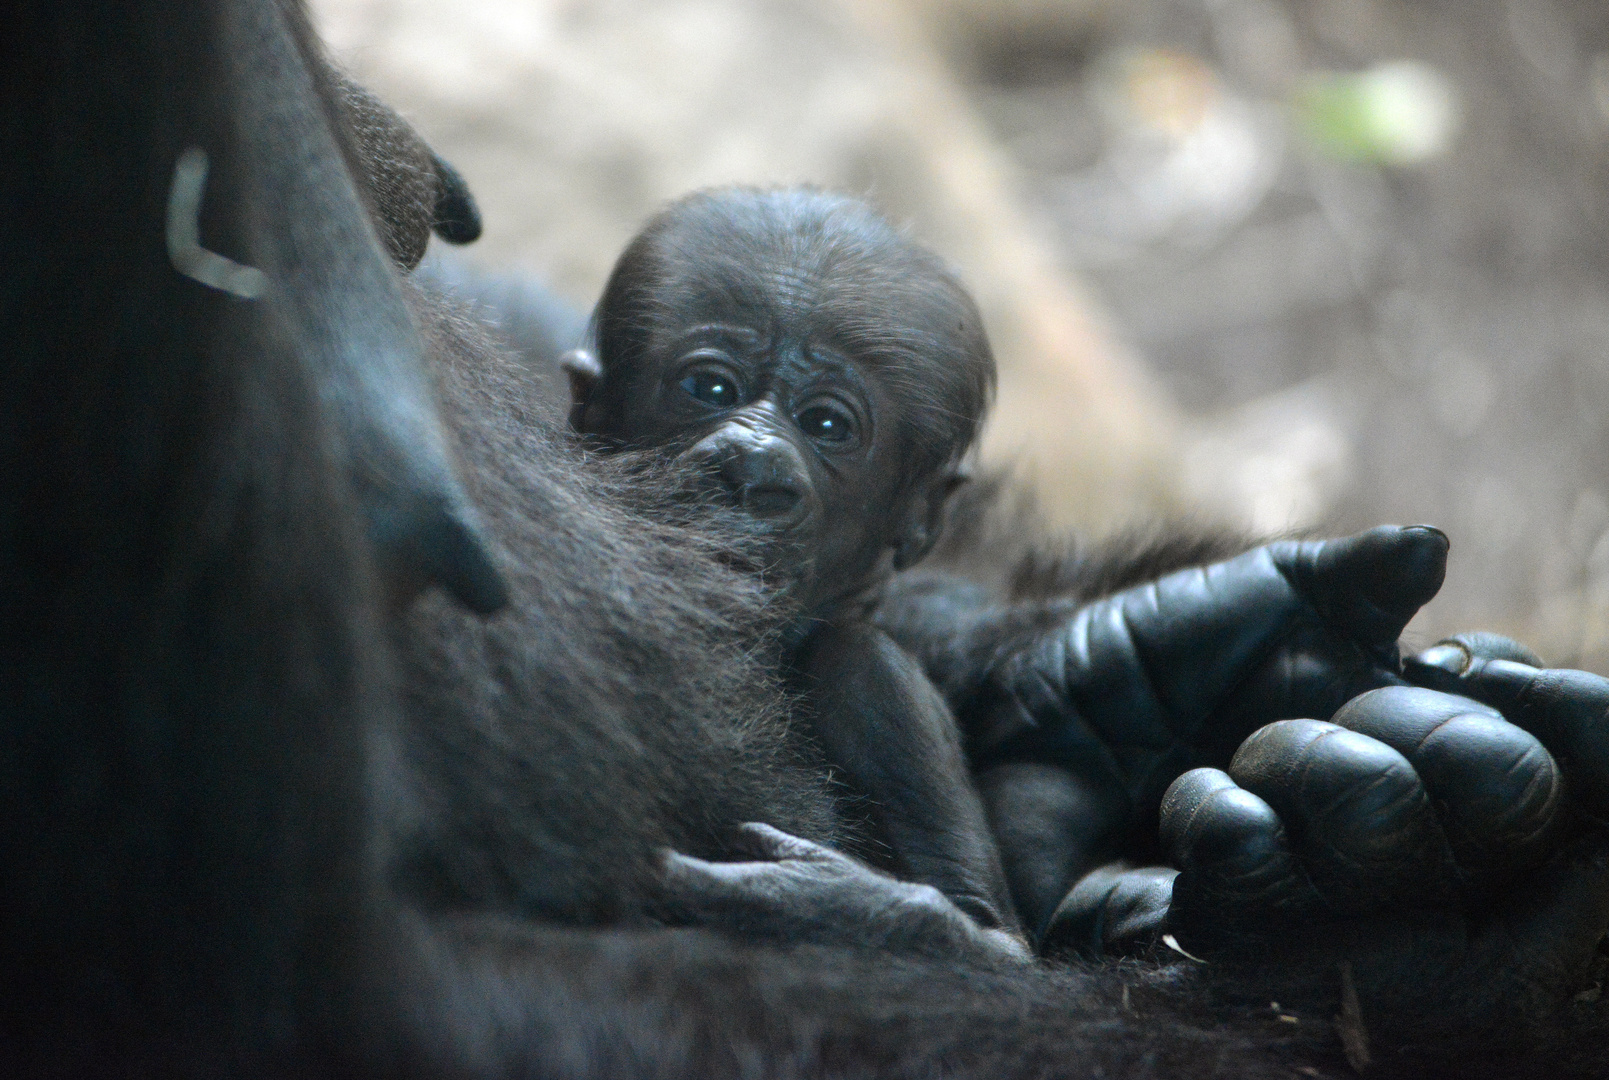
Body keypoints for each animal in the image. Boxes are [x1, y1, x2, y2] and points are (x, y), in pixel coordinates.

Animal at [566, 188, 1016, 946]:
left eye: (827, 425)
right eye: (710, 387)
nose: (751, 466)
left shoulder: (875, 683)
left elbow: (990, 934)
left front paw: (811, 897)